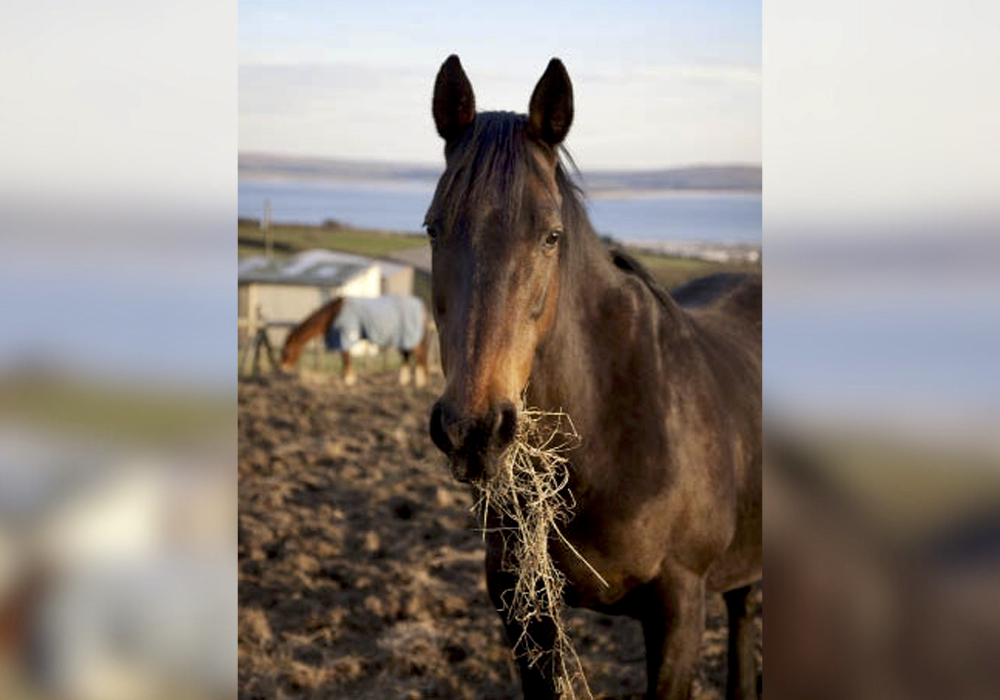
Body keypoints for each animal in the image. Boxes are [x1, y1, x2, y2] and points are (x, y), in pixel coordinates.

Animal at [279, 295, 430, 387]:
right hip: (403, 338)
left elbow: (346, 357)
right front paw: (348, 378)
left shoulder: (345, 335)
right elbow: (346, 357)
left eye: (286, 352)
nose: (283, 368)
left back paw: (420, 382)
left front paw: (348, 380)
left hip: (411, 337)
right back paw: (403, 381)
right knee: (407, 356)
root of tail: (422, 306)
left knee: (420, 354)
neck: (334, 312)